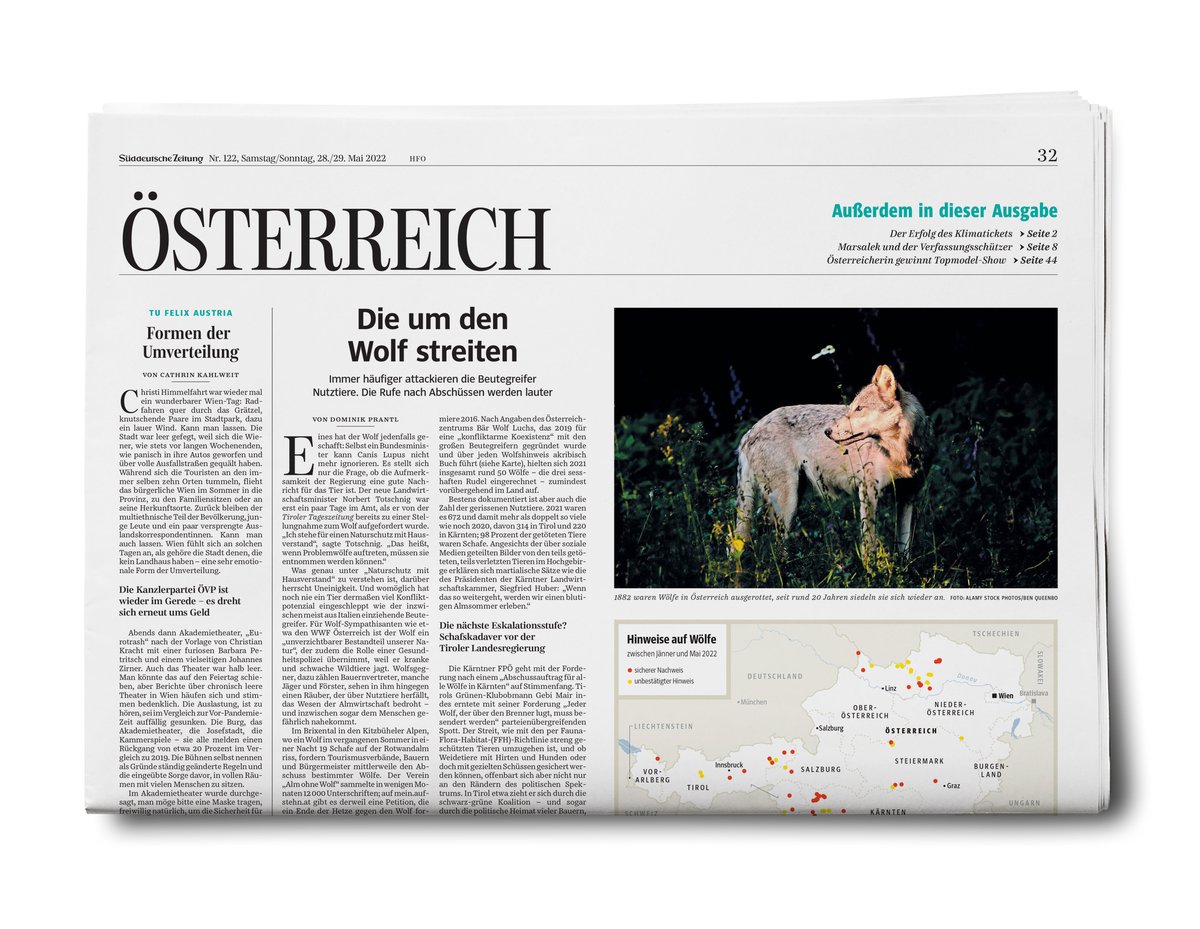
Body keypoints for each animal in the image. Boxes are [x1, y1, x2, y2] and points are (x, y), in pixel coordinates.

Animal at [734, 364, 934, 556]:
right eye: (852, 407)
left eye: (859, 409)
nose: (827, 431)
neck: (900, 453)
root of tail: (748, 433)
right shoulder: (868, 493)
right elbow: (869, 546)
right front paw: (872, 569)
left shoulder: (908, 497)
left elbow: (905, 548)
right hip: (788, 507)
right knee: (774, 545)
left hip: (787, 501)